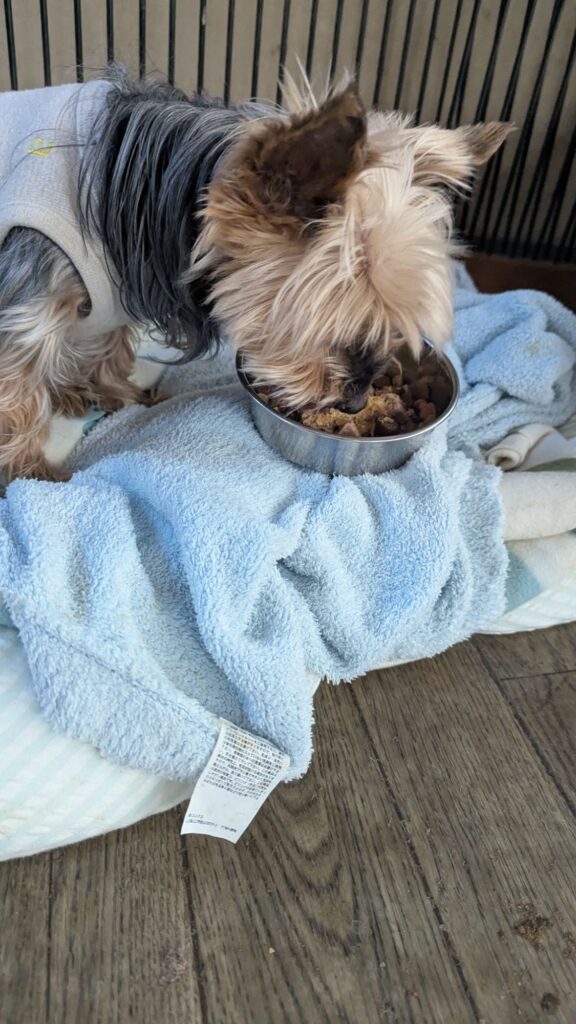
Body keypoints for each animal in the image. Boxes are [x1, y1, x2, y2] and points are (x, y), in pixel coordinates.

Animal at [0, 67, 512, 480]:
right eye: (329, 330)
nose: (356, 405)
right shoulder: (30, 295)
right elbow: (17, 389)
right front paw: (30, 472)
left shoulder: (118, 284)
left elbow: (108, 345)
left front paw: (113, 394)